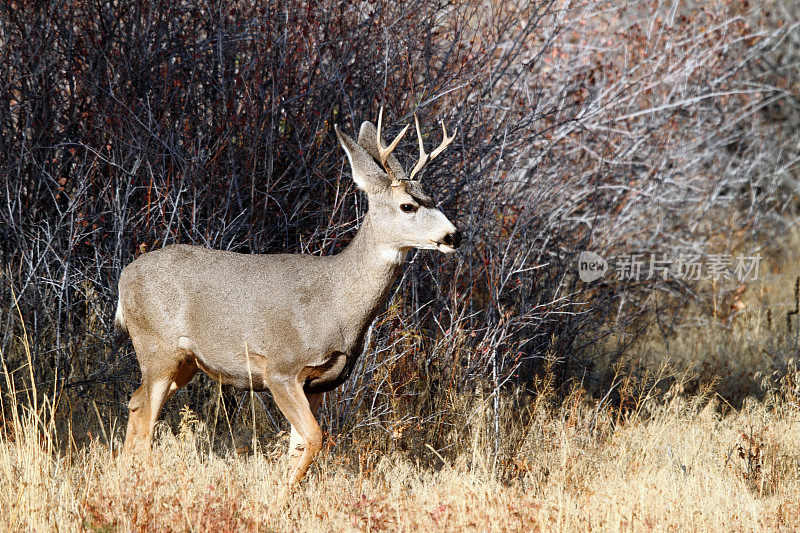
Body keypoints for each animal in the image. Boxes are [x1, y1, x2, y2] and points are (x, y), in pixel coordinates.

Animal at [114, 108, 462, 482]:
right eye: (408, 206)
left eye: (433, 199)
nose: (453, 235)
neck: (337, 303)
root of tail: (124, 277)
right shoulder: (281, 368)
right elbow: (314, 437)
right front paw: (280, 494)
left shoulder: (320, 383)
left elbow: (299, 444)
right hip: (156, 345)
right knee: (145, 420)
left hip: (185, 361)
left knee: (135, 403)